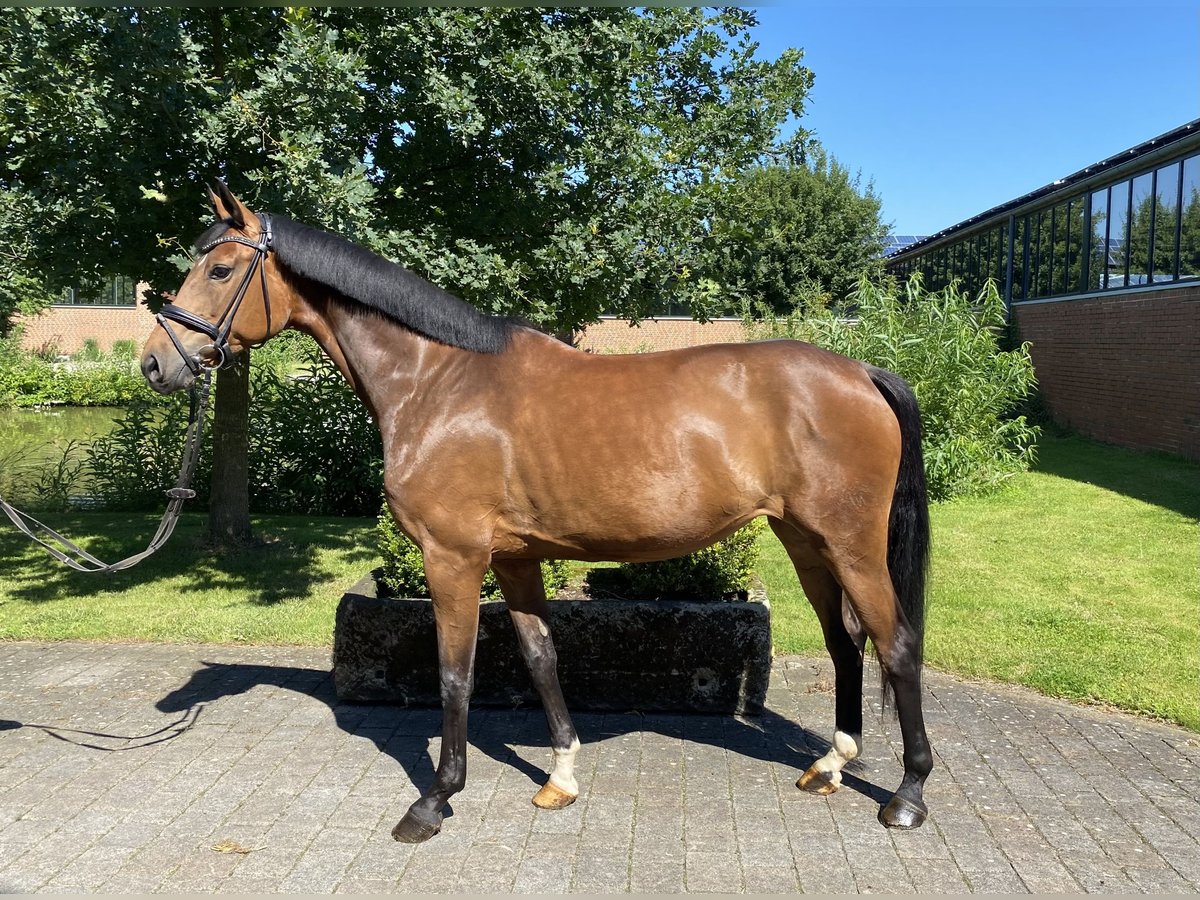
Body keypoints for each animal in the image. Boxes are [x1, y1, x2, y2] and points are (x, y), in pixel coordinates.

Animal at [138, 180, 926, 844]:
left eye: (219, 270)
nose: (155, 364)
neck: (438, 380)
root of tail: (862, 372)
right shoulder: (515, 559)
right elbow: (542, 658)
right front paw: (561, 778)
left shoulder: (452, 557)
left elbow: (456, 674)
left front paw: (434, 800)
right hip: (805, 541)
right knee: (845, 642)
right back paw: (830, 765)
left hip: (851, 543)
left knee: (896, 645)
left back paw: (907, 795)